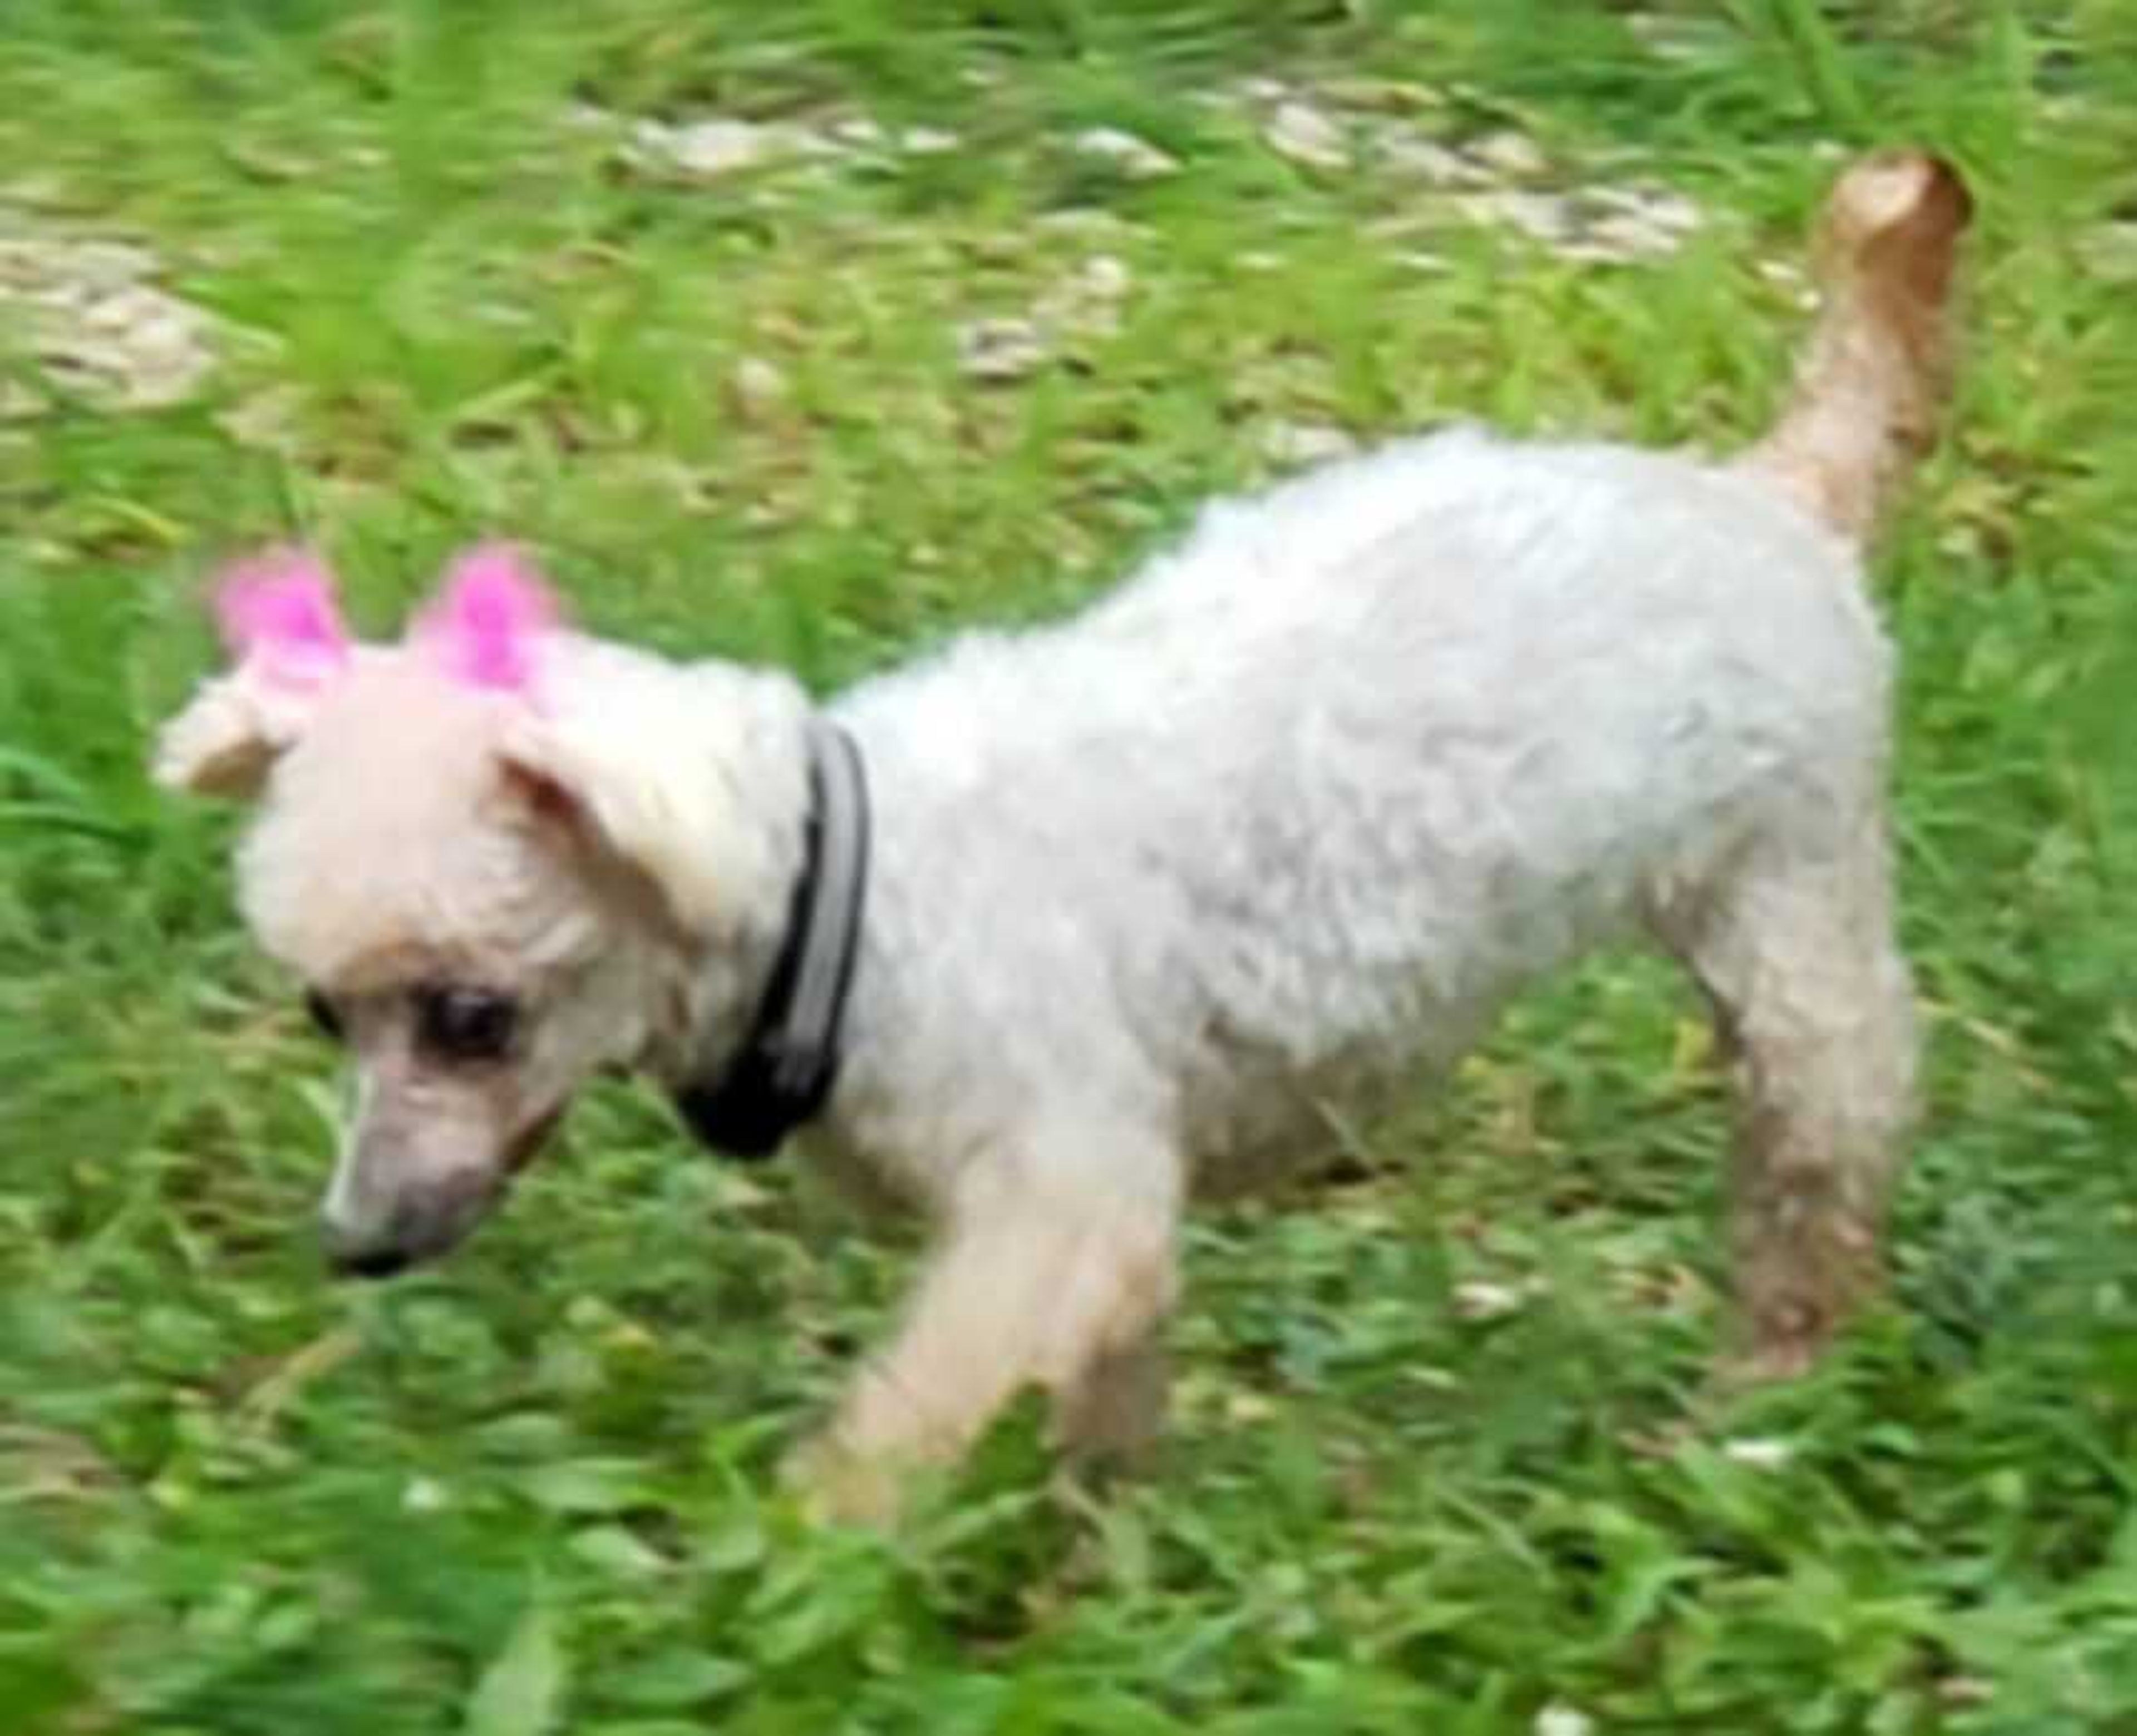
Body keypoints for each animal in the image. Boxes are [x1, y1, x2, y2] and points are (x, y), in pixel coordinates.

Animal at [158, 156, 1966, 1522]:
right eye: (325, 1015)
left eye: (472, 1015)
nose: (351, 1247)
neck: (847, 898)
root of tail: (1775, 493)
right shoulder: (1119, 1218)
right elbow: (1108, 1414)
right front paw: (1098, 1575)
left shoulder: (1050, 1193)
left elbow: (892, 1427)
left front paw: (796, 1562)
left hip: (1792, 911)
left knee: (1817, 1177)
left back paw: (1758, 1396)